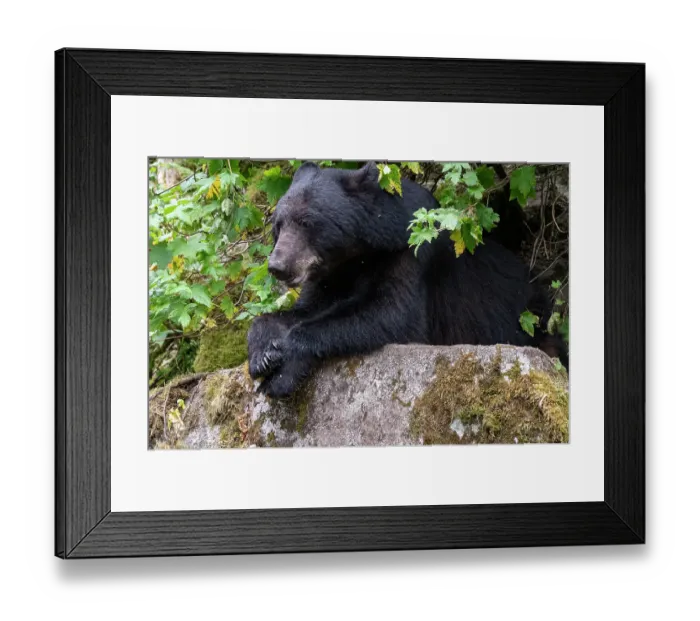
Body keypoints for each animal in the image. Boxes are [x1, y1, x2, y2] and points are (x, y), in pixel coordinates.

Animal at [248, 161, 565, 398]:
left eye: (307, 222)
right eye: (278, 224)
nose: (277, 266)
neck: (358, 253)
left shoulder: (411, 251)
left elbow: (391, 314)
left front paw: (283, 364)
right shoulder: (328, 274)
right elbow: (303, 309)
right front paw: (261, 353)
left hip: (531, 323)